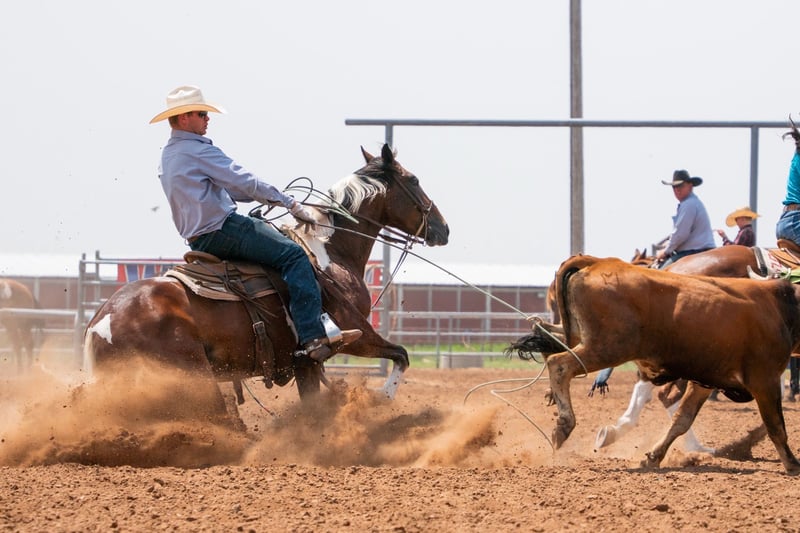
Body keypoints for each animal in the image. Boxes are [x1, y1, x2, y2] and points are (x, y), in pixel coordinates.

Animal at [83, 144, 449, 423]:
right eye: (413, 179)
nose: (443, 228)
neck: (330, 254)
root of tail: (100, 324)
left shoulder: (305, 363)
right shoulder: (354, 336)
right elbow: (401, 355)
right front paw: (378, 397)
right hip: (191, 376)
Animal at [506, 254, 800, 474]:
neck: (781, 306)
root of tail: (598, 262)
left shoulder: (705, 382)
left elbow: (681, 420)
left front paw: (653, 457)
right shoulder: (765, 380)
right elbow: (776, 425)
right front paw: (792, 464)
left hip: (581, 337)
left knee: (544, 333)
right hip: (606, 347)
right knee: (560, 363)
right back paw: (564, 425)